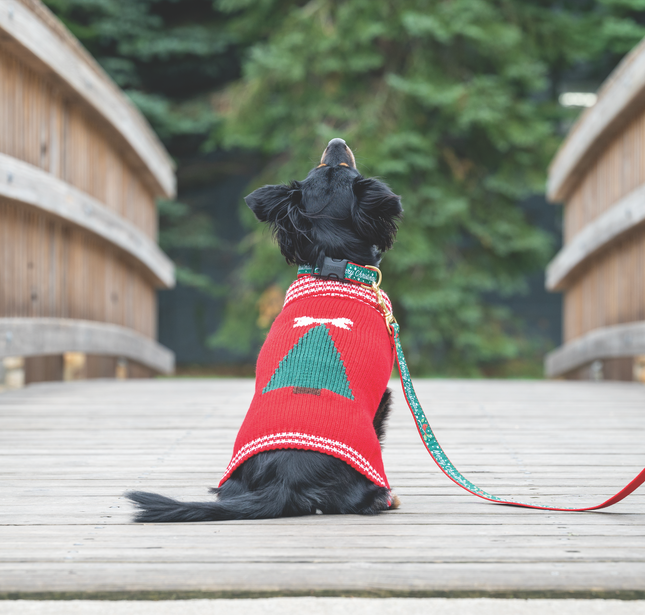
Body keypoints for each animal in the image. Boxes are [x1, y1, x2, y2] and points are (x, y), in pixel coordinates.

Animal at [124, 138, 400, 520]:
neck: (333, 265)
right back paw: (384, 497)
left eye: (325, 166)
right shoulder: (383, 396)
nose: (336, 142)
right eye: (339, 168)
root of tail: (285, 479)